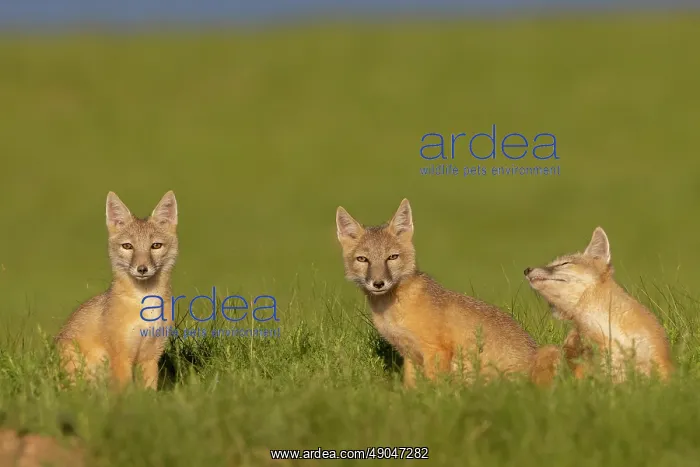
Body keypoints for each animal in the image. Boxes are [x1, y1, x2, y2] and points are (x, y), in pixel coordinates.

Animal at [54, 191, 179, 390]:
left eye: (156, 246)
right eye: (127, 246)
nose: (142, 269)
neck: (146, 304)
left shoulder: (151, 355)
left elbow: (150, 391)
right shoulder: (121, 356)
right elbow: (124, 391)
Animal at [335, 198, 563, 388]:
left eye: (392, 257)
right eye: (363, 259)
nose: (378, 283)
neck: (392, 311)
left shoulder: (436, 350)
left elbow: (435, 387)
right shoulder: (409, 354)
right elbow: (410, 388)